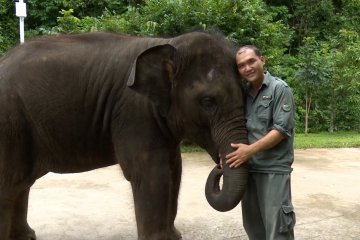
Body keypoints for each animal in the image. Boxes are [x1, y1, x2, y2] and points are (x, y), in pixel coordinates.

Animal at [0, 31, 248, 240]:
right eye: (208, 102)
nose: (220, 166)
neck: (170, 43)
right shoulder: (133, 114)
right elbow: (152, 173)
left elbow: (174, 168)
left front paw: (174, 237)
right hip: (9, 121)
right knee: (10, 183)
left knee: (21, 182)